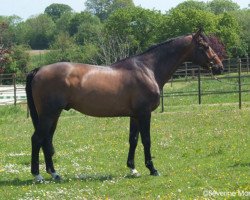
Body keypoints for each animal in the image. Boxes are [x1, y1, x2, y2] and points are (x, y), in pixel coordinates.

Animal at [26, 29, 224, 181]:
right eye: (205, 46)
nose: (219, 67)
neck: (147, 69)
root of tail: (39, 69)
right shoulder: (144, 114)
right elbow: (146, 140)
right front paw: (152, 169)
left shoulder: (135, 115)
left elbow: (133, 140)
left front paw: (133, 169)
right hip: (49, 115)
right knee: (37, 139)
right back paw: (38, 175)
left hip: (54, 115)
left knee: (46, 140)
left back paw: (54, 173)